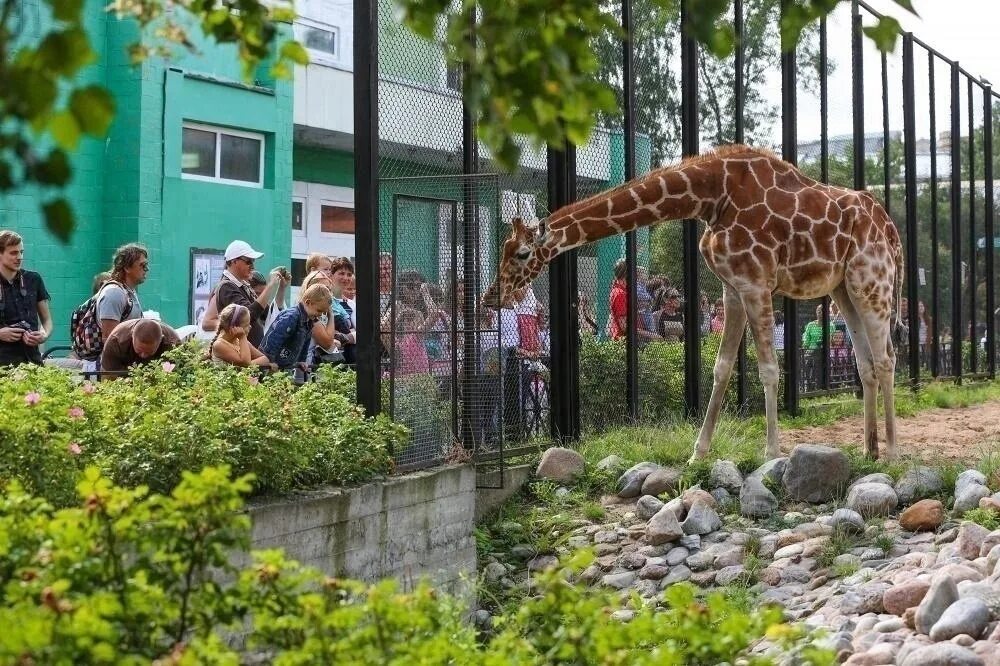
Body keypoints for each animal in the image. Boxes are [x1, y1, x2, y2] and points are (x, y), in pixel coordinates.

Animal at [484, 144, 908, 462]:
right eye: (503, 248)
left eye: (521, 254)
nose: (492, 297)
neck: (712, 195)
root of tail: (891, 230)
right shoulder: (732, 287)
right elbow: (720, 369)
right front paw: (697, 453)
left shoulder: (756, 282)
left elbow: (769, 369)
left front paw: (771, 453)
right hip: (843, 289)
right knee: (866, 363)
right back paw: (868, 450)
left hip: (872, 282)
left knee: (887, 357)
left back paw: (892, 452)